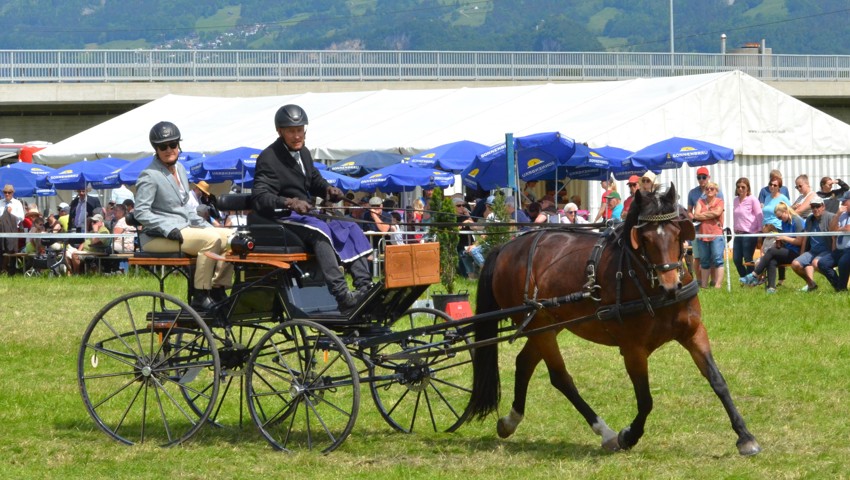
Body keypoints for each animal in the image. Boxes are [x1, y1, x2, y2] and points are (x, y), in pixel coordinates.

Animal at [468, 185, 760, 458]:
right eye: (645, 238)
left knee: (525, 363)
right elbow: (645, 400)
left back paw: (510, 421)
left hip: (548, 325)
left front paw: (745, 436)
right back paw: (605, 432)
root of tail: (506, 248)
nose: (671, 286)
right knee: (560, 377)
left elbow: (717, 381)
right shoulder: (633, 350)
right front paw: (628, 436)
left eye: (678, 231)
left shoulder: (694, 333)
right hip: (540, 328)